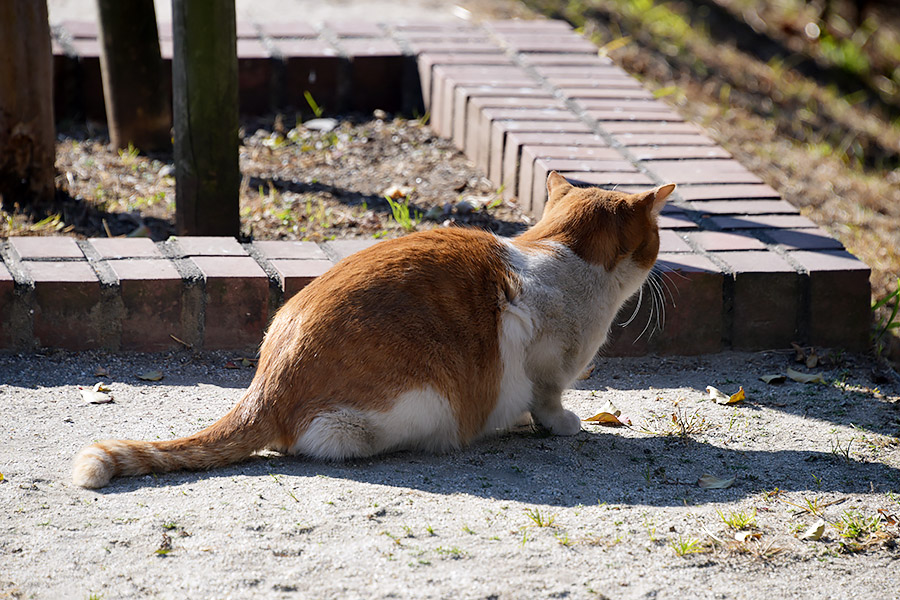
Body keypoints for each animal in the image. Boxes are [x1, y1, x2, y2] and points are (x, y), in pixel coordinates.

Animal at [72, 172, 676, 488]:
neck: (561, 256)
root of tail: (265, 387)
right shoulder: (546, 370)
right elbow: (548, 404)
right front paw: (561, 425)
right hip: (422, 402)